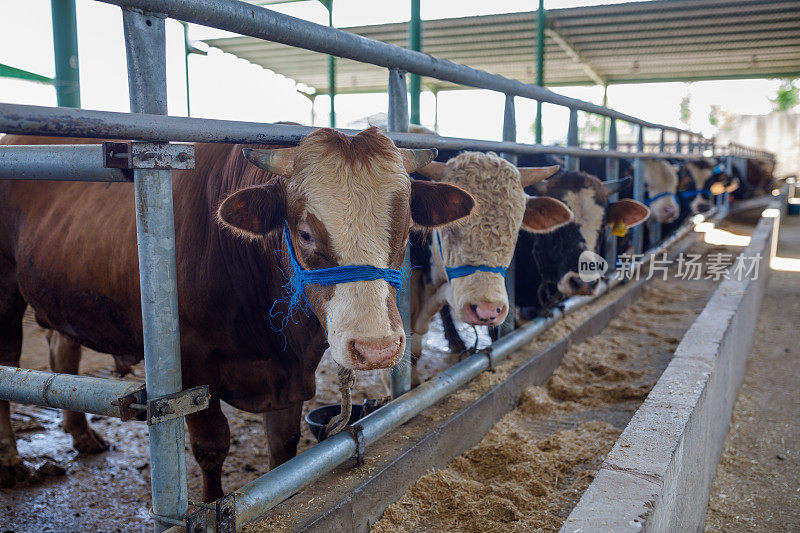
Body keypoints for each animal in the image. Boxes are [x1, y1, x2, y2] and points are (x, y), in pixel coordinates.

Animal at [0, 129, 476, 498]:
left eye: (405, 228)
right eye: (305, 232)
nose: (376, 348)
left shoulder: (289, 377)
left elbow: (284, 447)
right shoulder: (190, 362)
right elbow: (212, 446)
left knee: (62, 347)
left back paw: (81, 433)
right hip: (5, 292)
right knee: (9, 359)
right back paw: (11, 461)